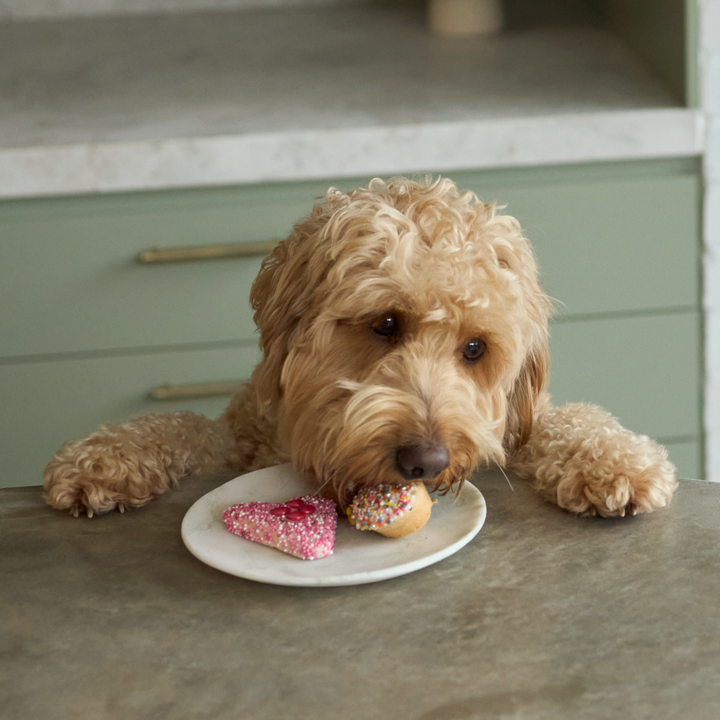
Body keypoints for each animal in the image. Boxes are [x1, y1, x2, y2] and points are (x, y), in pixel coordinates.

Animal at [42, 179, 676, 516]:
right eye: (386, 322)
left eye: (475, 348)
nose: (427, 462)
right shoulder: (241, 438)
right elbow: (182, 425)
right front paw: (104, 458)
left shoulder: (512, 421)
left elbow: (566, 420)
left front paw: (618, 462)